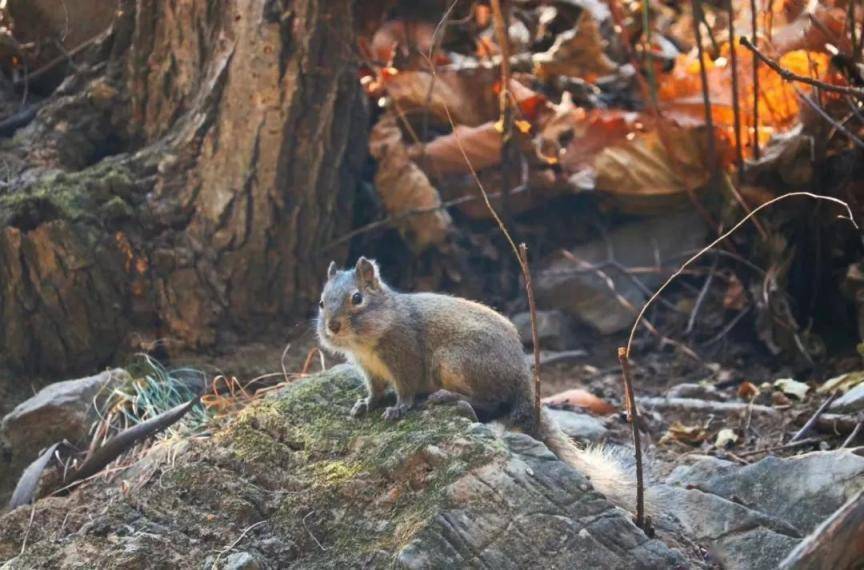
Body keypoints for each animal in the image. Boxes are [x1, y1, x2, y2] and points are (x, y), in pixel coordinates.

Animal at [316, 255, 636, 508]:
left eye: (357, 298)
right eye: (321, 302)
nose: (332, 326)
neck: (369, 339)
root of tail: (523, 378)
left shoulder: (406, 358)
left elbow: (405, 389)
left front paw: (398, 407)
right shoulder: (370, 370)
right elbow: (375, 391)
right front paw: (365, 404)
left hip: (455, 362)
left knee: (491, 401)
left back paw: (449, 397)